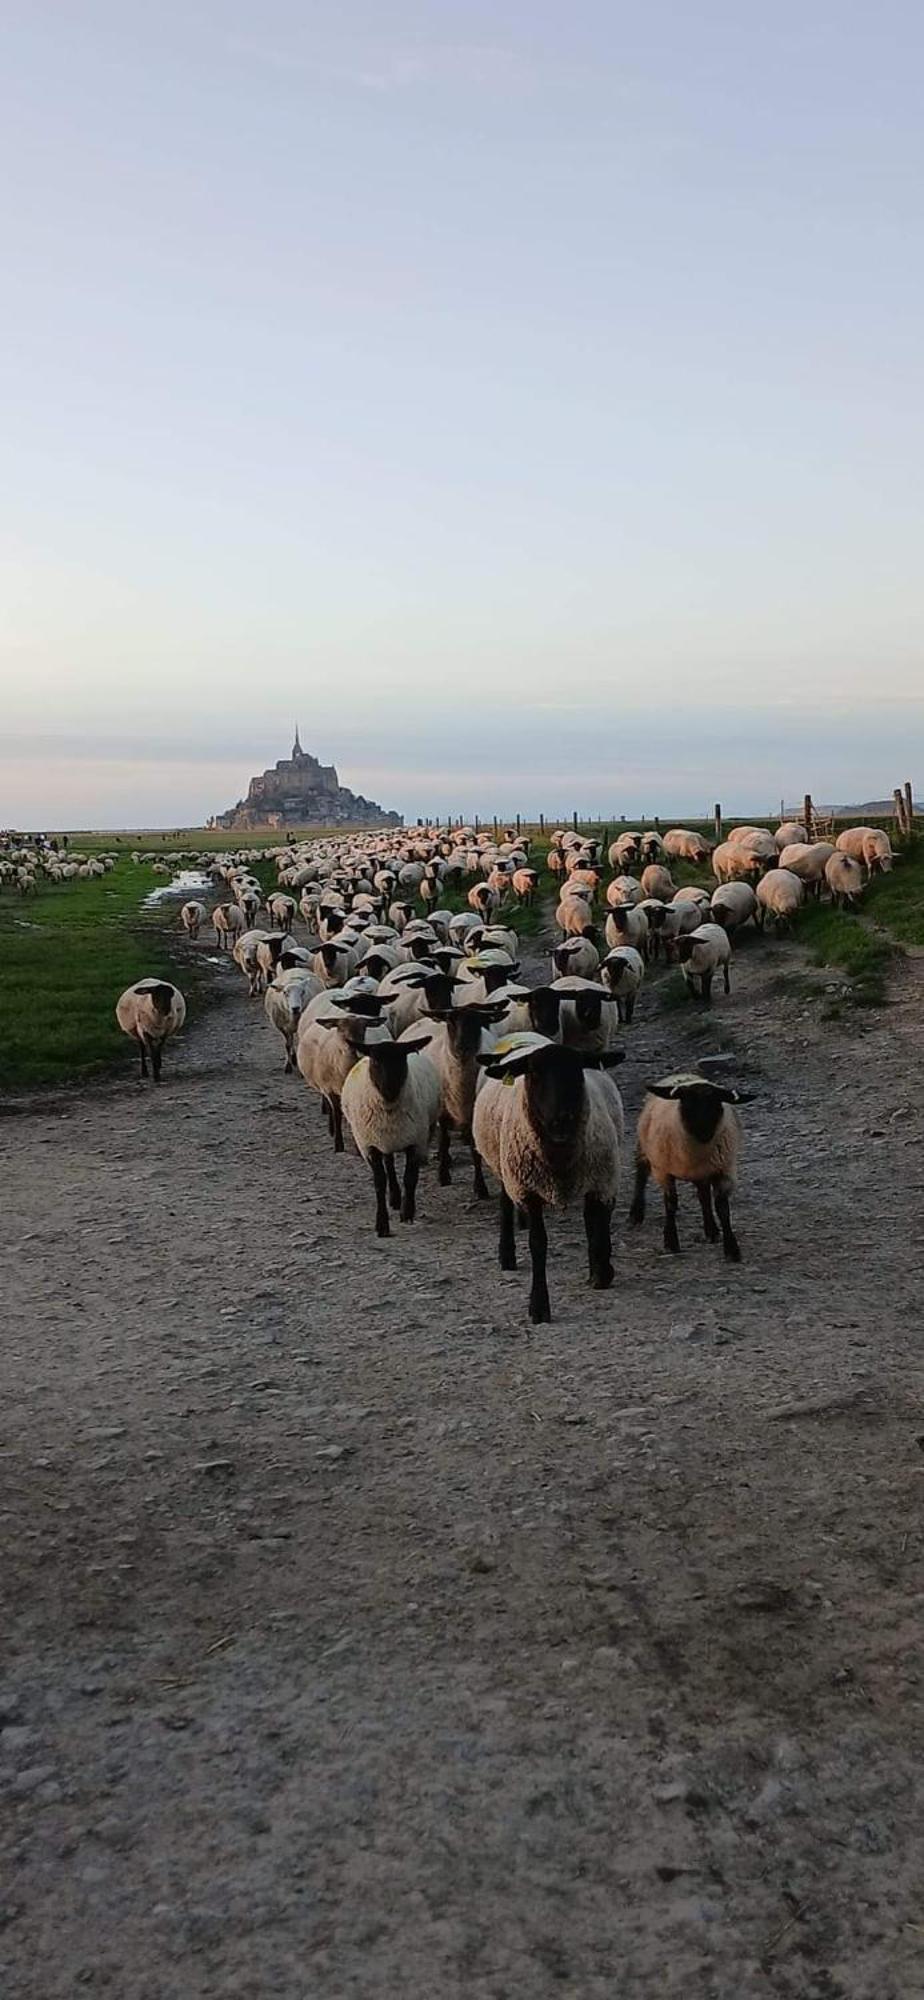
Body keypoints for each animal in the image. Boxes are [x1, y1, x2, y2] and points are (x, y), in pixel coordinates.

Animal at [340, 1032, 444, 1232]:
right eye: (375, 1061)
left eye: (401, 1059)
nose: (389, 1088)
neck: (388, 1106)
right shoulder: (369, 1145)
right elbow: (379, 1182)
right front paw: (381, 1224)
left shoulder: (416, 1142)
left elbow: (410, 1179)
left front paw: (407, 1212)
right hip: (382, 1139)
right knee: (389, 1165)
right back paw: (394, 1197)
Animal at [472, 1032, 624, 1328]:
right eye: (534, 1073)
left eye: (578, 1070)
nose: (561, 1121)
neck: (560, 1157)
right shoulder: (527, 1189)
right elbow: (538, 1243)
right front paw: (539, 1307)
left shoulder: (602, 1178)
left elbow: (599, 1224)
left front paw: (601, 1271)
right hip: (505, 1166)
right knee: (505, 1202)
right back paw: (506, 1255)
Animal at [628, 1072, 752, 1256]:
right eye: (687, 1102)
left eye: (716, 1104)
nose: (704, 1132)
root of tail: (683, 1074)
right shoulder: (663, 1172)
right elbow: (671, 1204)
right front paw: (671, 1241)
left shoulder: (724, 1171)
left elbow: (722, 1208)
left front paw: (731, 1248)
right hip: (645, 1148)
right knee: (641, 1173)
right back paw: (636, 1214)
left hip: (704, 1172)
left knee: (704, 1197)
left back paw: (711, 1231)